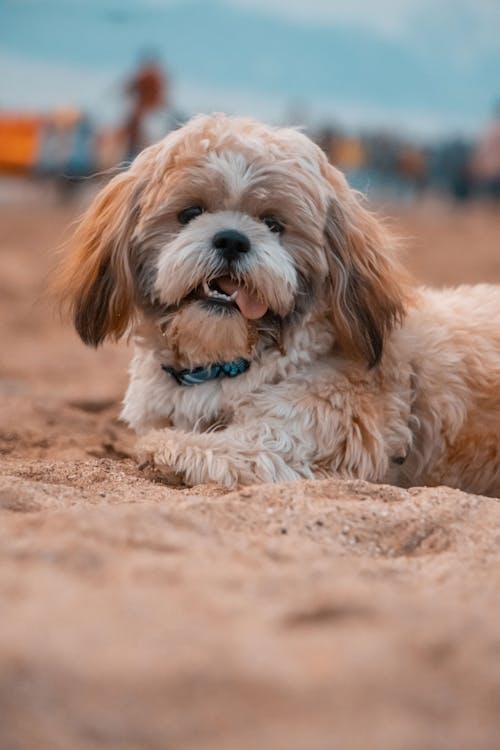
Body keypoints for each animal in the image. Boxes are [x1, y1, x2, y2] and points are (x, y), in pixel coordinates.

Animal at [56, 114, 500, 496]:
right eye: (190, 212)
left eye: (274, 224)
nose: (232, 239)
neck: (223, 365)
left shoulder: (296, 439)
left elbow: (208, 448)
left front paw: (164, 448)